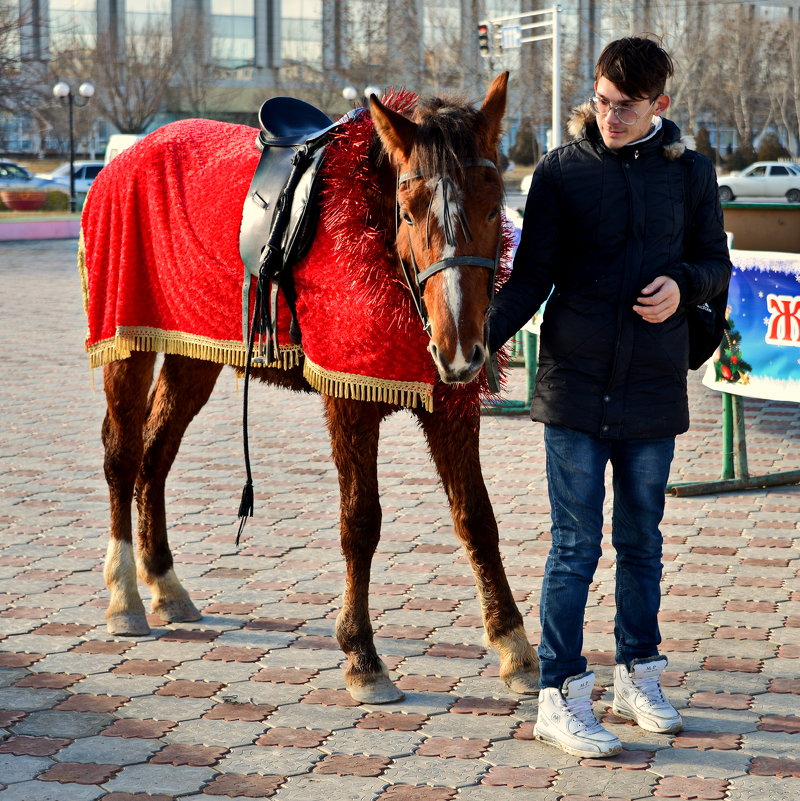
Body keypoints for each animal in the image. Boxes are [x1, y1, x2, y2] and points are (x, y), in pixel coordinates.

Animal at [84, 72, 536, 704]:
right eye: (409, 210)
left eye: (496, 207)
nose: (461, 350)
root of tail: (126, 158)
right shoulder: (349, 399)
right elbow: (360, 522)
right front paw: (362, 655)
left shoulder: (450, 402)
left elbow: (476, 517)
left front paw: (514, 645)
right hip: (128, 340)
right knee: (123, 455)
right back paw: (124, 594)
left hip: (192, 351)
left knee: (156, 454)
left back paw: (165, 584)